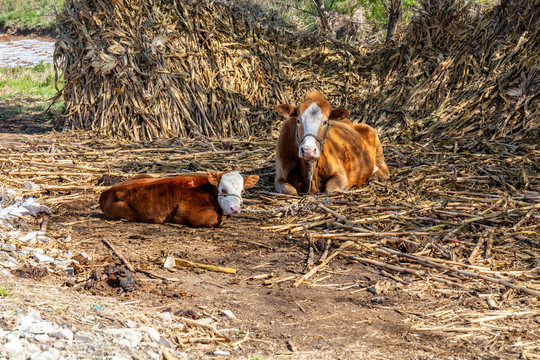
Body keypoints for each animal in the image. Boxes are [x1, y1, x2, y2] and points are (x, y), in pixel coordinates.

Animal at [99, 172, 260, 228]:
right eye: (223, 190)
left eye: (242, 191)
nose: (235, 209)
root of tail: (106, 191)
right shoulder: (184, 211)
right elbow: (215, 219)